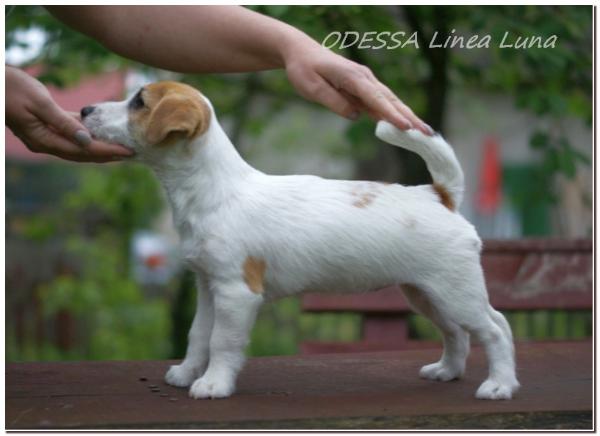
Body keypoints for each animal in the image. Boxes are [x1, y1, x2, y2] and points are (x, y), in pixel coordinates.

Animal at [81, 80, 520, 400]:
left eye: (139, 102)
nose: (84, 110)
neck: (214, 190)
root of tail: (439, 195)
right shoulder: (208, 286)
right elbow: (198, 336)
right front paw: (188, 372)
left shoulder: (237, 293)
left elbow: (221, 341)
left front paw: (214, 383)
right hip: (426, 293)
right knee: (458, 332)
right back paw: (448, 371)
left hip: (454, 291)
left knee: (496, 328)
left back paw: (499, 385)